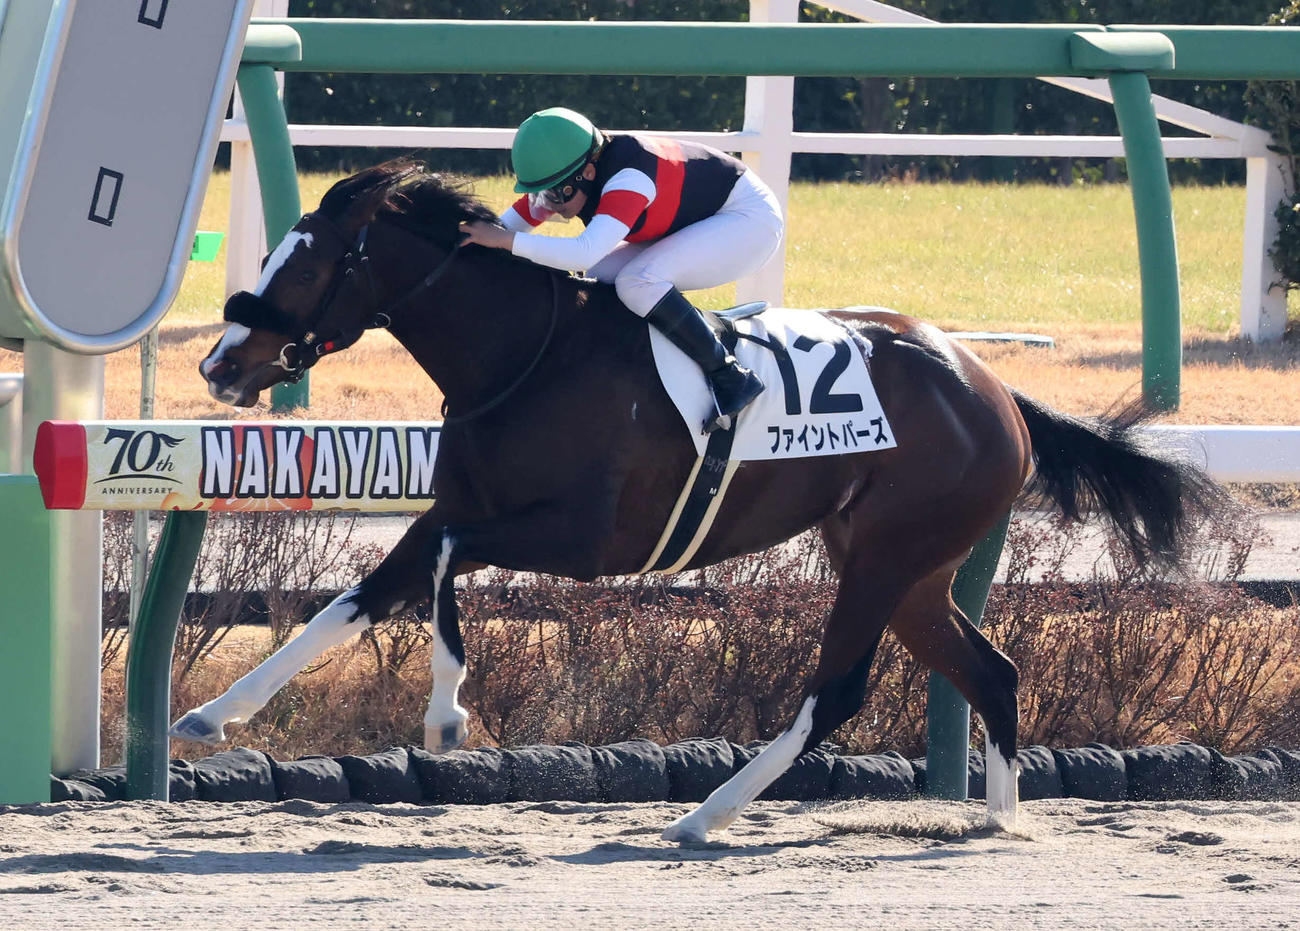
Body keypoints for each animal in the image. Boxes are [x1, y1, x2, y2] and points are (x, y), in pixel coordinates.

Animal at [176, 159, 1223, 843]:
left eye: (306, 265)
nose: (219, 365)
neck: (527, 357)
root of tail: (995, 387)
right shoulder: (457, 509)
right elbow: (359, 596)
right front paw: (212, 718)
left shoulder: (582, 542)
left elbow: (436, 570)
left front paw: (445, 717)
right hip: (907, 566)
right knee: (992, 671)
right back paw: (997, 821)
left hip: (888, 554)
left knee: (839, 690)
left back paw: (702, 815)